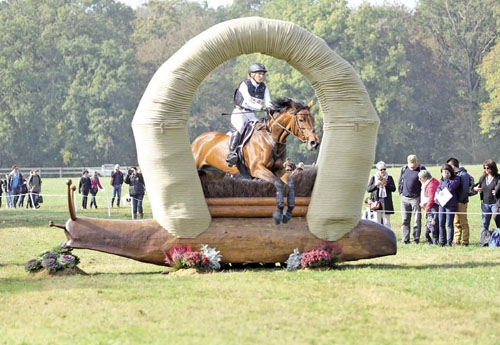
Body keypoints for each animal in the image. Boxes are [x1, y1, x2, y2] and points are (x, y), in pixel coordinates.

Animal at [191, 97, 320, 223]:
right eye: (302, 119)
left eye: (313, 119)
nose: (314, 143)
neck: (271, 138)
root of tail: (197, 140)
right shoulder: (258, 169)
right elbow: (278, 183)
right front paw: (279, 213)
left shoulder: (279, 170)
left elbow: (291, 184)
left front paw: (288, 213)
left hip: (212, 174)